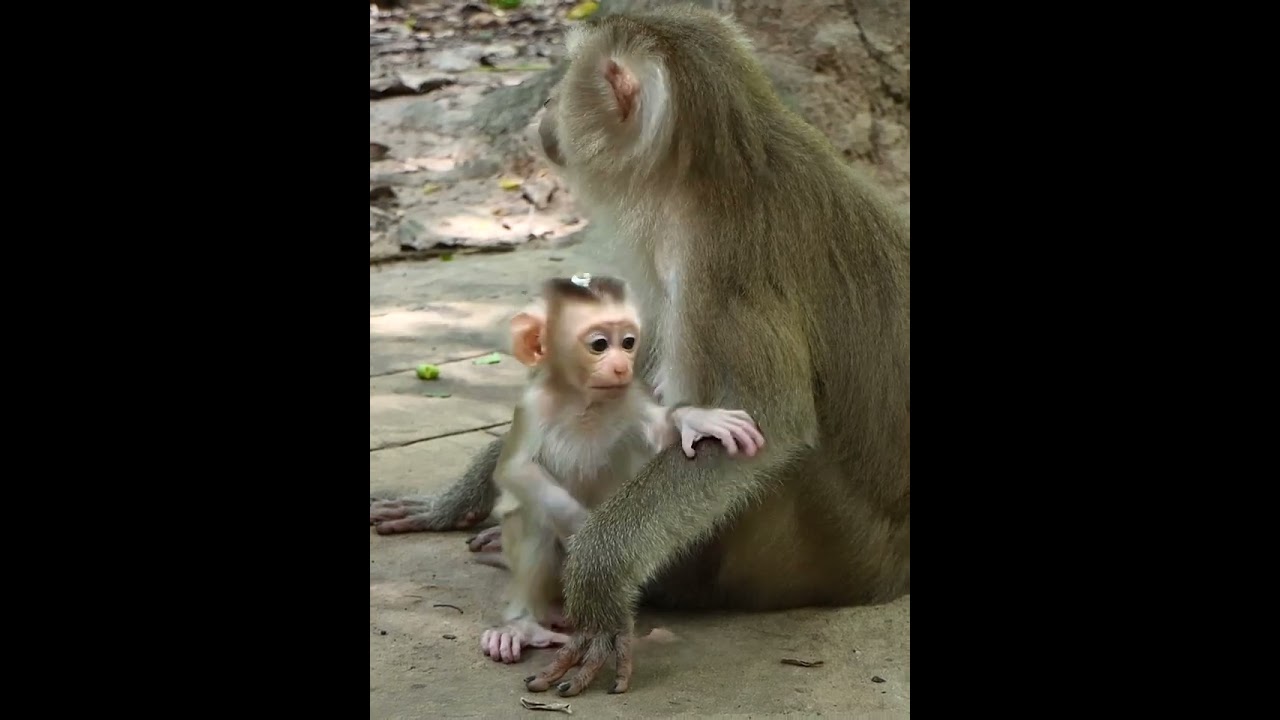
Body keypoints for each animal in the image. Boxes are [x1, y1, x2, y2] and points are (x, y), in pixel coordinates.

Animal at [479, 273, 764, 664]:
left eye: (628, 342)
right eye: (599, 344)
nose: (621, 366)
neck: (584, 403)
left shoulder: (629, 398)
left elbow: (660, 431)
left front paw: (695, 418)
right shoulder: (532, 408)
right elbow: (515, 470)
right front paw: (580, 524)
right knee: (533, 518)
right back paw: (523, 623)